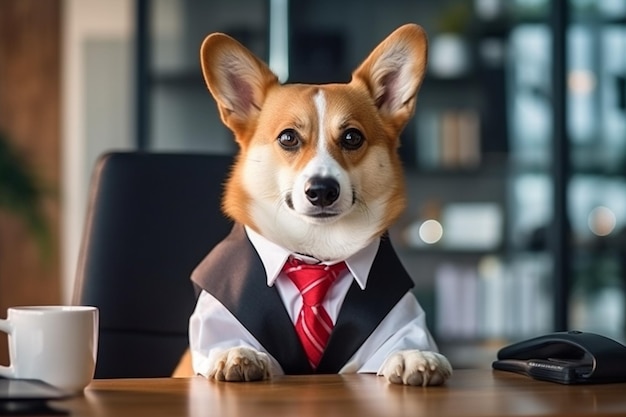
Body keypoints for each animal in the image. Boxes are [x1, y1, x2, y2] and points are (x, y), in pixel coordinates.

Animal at [188, 22, 450, 386]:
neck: (316, 254)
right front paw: (236, 353)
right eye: (288, 137)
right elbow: (228, 341)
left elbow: (403, 343)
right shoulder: (218, 318)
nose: (322, 191)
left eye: (352, 137)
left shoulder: (400, 320)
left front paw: (414, 356)